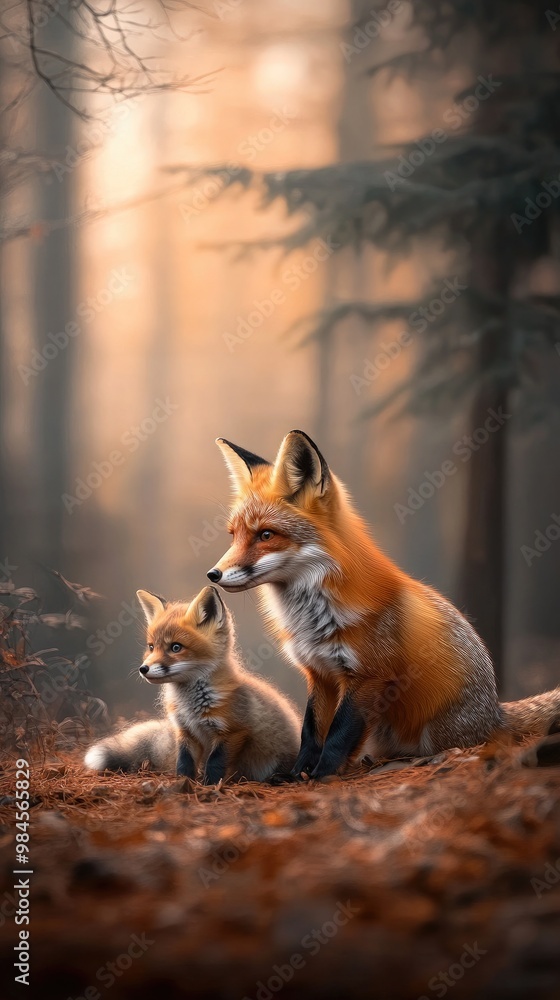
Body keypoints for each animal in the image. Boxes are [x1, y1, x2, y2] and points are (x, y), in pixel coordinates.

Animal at [84, 585, 300, 782]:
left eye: (176, 647)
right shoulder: (185, 731)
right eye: (151, 647)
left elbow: (215, 763)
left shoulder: (233, 732)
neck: (192, 706)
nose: (143, 669)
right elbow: (184, 762)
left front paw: (211, 786)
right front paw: (184, 782)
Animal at [208, 429, 560, 780]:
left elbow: (337, 735)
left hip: (437, 731)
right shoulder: (319, 674)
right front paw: (298, 775)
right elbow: (311, 731)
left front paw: (323, 775)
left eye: (266, 535)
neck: (311, 619)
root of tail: (495, 712)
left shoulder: (369, 677)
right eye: (234, 535)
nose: (213, 574)